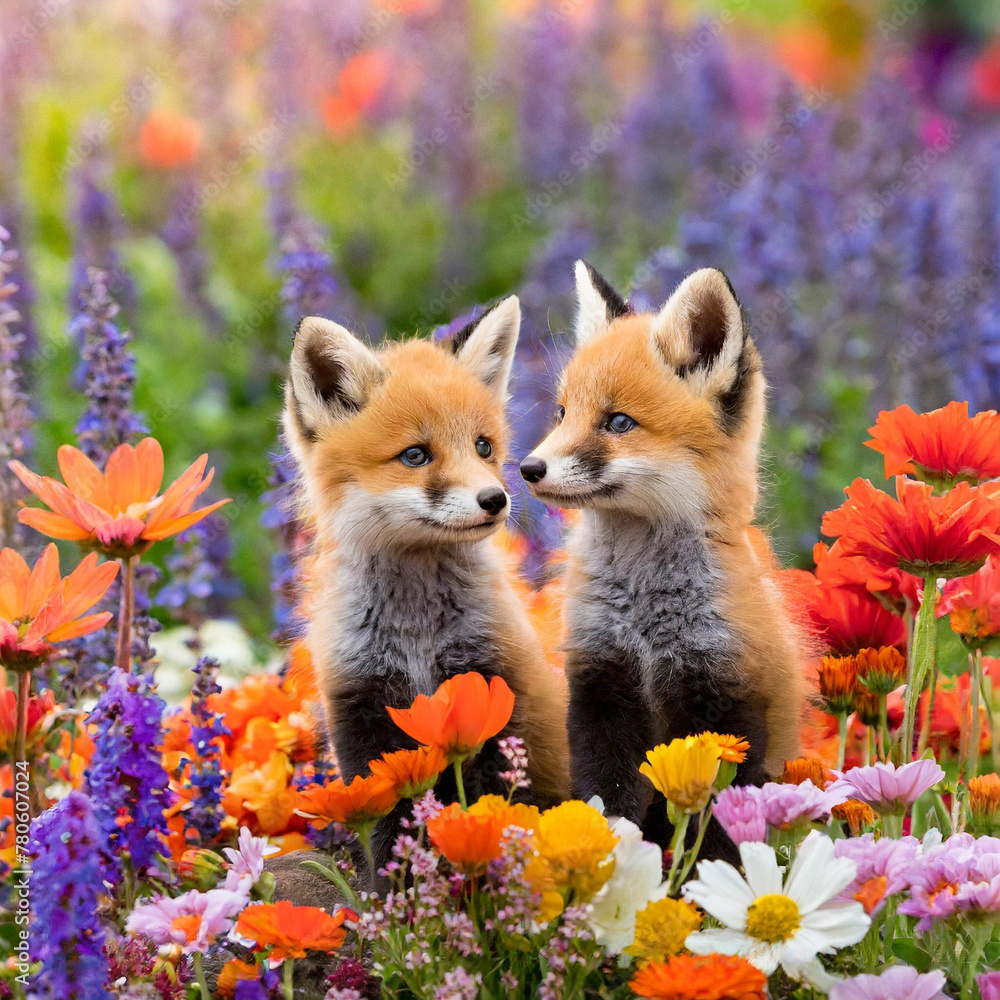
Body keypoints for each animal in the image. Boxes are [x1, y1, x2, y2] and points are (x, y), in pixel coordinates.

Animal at [283, 297, 569, 872]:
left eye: (483, 446)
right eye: (415, 455)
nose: (495, 500)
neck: (416, 635)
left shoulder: (493, 690)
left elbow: (497, 807)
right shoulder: (362, 708)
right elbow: (388, 830)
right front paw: (397, 893)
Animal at [519, 262, 804, 851]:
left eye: (618, 423)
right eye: (562, 413)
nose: (528, 468)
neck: (645, 617)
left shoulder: (725, 699)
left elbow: (711, 829)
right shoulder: (601, 684)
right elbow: (606, 793)